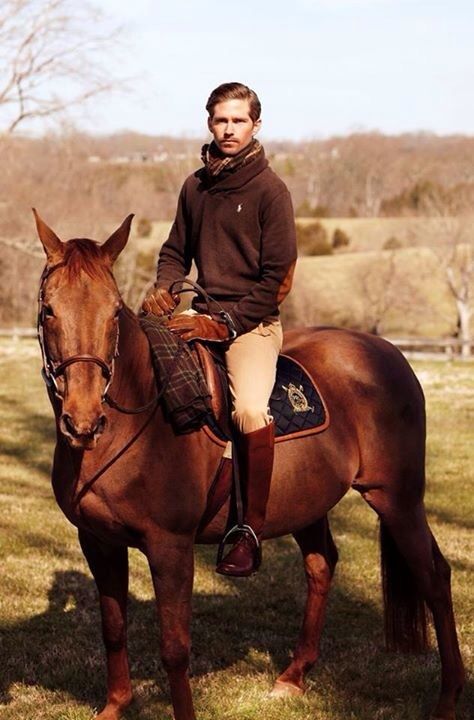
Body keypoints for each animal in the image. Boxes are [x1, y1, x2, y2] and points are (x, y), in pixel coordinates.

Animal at [34, 210, 466, 720]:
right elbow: (113, 628)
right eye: (49, 310)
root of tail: (389, 352)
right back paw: (293, 676)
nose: (82, 421)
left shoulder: (170, 547)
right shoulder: (98, 541)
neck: (143, 413)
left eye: (114, 312)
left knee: (435, 578)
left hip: (397, 499)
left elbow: (175, 649)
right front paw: (116, 705)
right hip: (308, 503)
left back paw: (448, 696)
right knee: (322, 567)